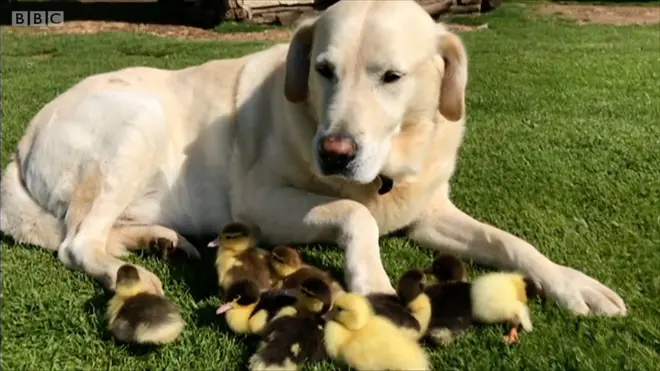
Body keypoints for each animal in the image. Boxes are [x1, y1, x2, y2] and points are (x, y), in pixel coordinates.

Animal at [2, 0, 628, 316]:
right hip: (139, 120)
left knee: (94, 229)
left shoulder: (428, 213)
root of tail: (21, 141)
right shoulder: (261, 203)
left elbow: (510, 242)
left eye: (391, 77)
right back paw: (126, 271)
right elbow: (356, 215)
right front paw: (371, 279)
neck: (387, 172)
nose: (334, 152)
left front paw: (574, 284)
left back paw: (158, 241)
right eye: (324, 70)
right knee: (76, 242)